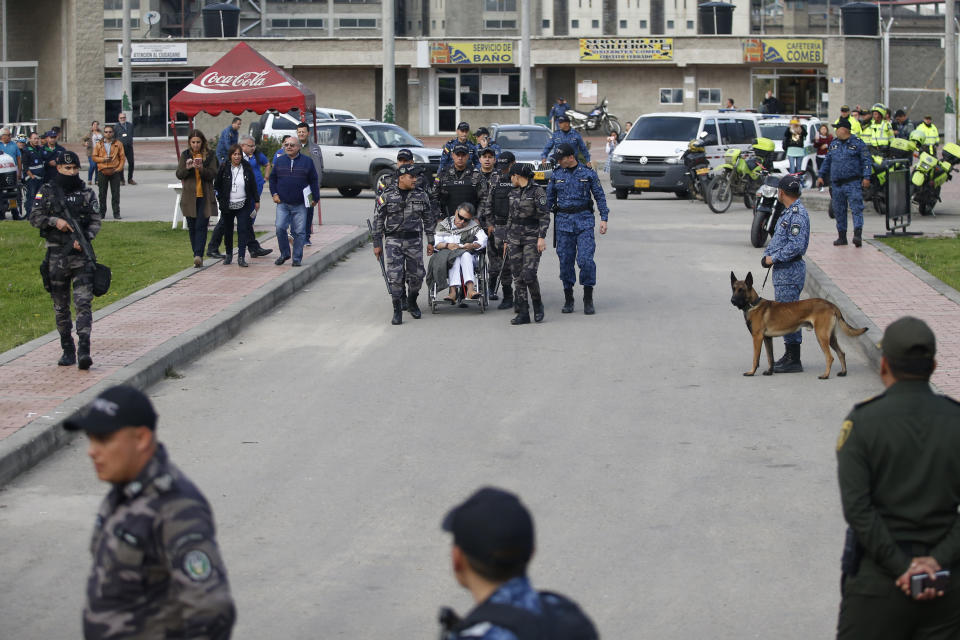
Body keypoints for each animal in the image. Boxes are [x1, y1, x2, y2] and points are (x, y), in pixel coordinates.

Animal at [728, 272, 872, 380]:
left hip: (821, 336)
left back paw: (825, 375)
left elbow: (755, 358)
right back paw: (843, 372)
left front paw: (751, 372)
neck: (753, 304)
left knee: (830, 357)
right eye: (733, 289)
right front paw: (769, 371)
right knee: (841, 353)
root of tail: (831, 304)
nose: (732, 300)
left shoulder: (757, 338)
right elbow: (770, 357)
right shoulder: (767, 338)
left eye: (741, 290)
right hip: (831, 337)